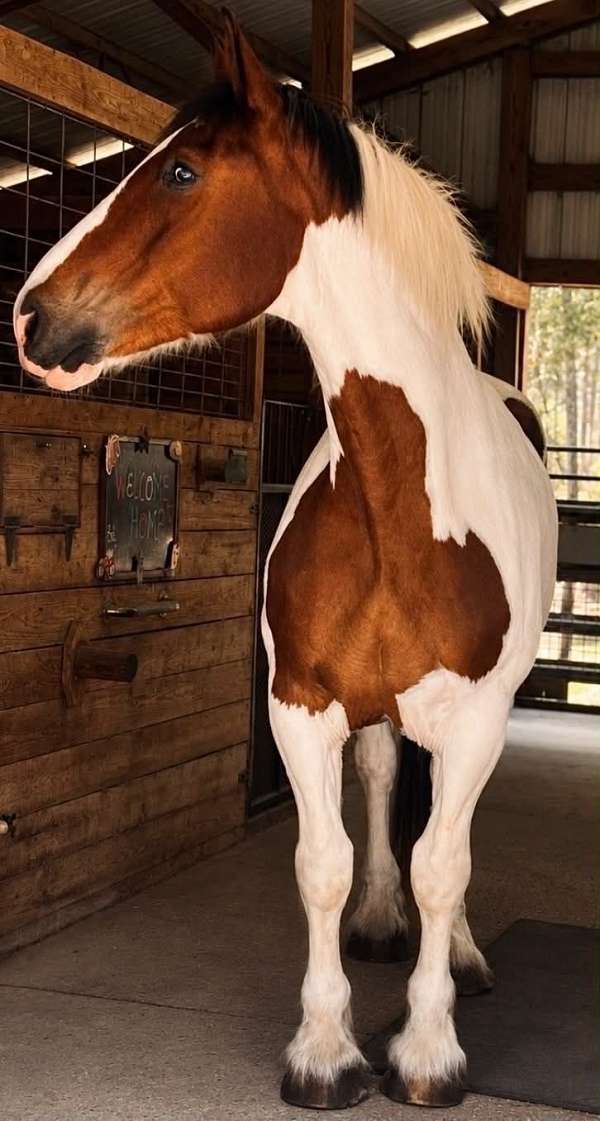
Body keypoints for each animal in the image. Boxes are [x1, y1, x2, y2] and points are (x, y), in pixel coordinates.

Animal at [13, 14, 558, 1112]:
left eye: (180, 171)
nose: (28, 317)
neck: (402, 502)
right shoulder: (301, 703)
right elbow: (324, 862)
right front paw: (325, 1049)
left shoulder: (477, 714)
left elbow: (445, 865)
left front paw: (428, 1052)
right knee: (386, 777)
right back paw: (386, 925)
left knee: (446, 835)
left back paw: (460, 956)